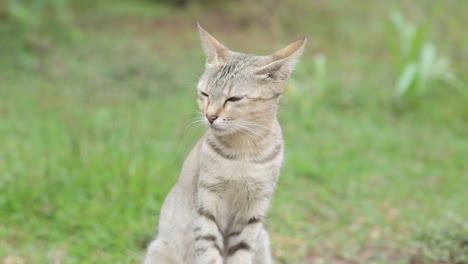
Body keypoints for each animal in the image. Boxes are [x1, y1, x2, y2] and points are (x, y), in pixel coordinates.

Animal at [144, 25, 308, 264]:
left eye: (234, 99)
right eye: (204, 94)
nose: (210, 116)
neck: (244, 151)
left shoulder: (254, 208)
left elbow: (242, 252)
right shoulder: (208, 202)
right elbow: (209, 250)